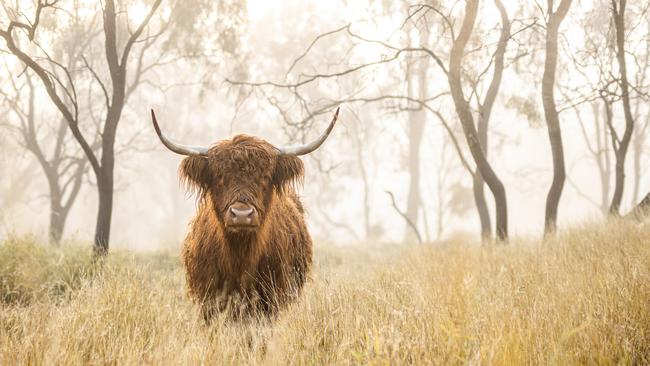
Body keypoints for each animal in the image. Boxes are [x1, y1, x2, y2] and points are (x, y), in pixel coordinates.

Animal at [149, 108, 336, 320]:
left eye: (265, 176)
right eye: (219, 176)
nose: (241, 214)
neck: (239, 256)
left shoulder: (271, 300)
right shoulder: (208, 300)